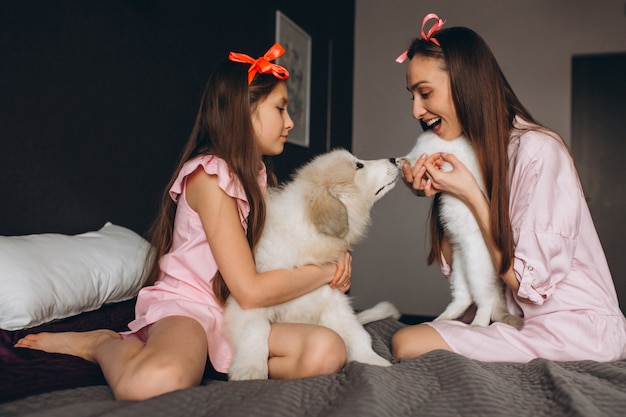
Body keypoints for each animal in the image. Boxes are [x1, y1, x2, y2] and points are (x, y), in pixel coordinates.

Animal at [224, 149, 400, 380]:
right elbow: (256, 331)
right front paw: (250, 371)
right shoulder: (249, 301)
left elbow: (357, 335)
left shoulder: (333, 301)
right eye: (358, 166)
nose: (394, 159)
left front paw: (376, 362)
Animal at [400, 132, 520, 330]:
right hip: (459, 271)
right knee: (463, 300)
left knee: (485, 301)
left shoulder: (429, 153)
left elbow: (416, 157)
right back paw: (439, 320)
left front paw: (403, 163)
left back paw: (477, 325)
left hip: (475, 271)